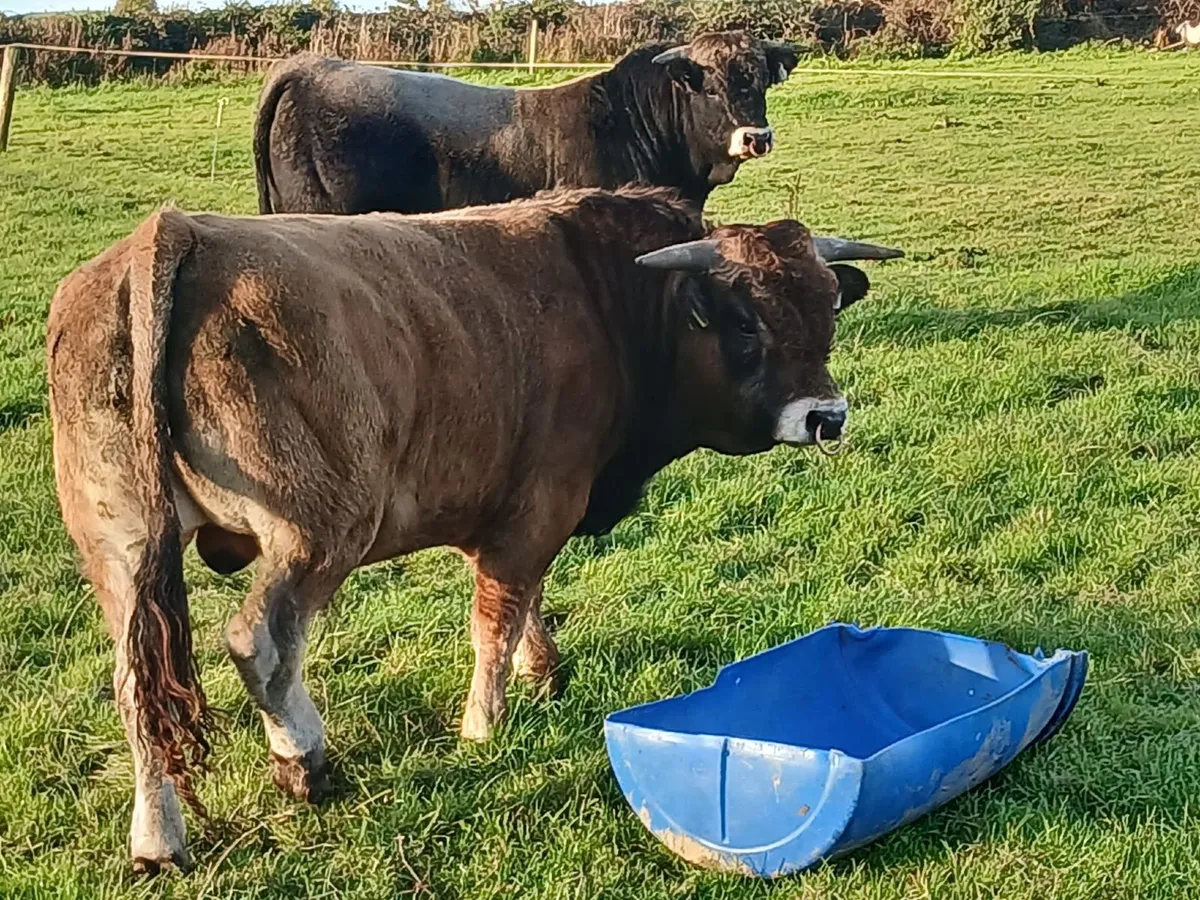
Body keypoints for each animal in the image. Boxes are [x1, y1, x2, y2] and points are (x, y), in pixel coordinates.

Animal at [46, 185, 901, 873]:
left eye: (827, 307)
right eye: (745, 321)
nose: (825, 416)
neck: (605, 298)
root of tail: (176, 233)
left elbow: (526, 601)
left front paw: (541, 666)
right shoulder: (539, 505)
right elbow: (498, 612)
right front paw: (484, 724)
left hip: (123, 552)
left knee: (136, 685)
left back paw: (158, 839)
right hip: (317, 534)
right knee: (262, 644)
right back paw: (304, 759)